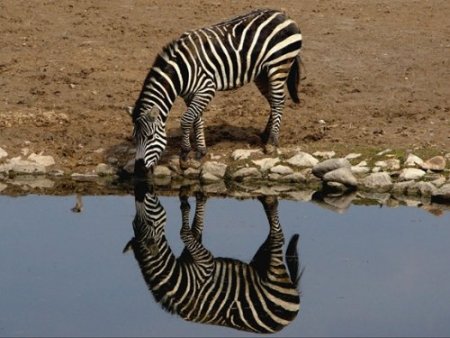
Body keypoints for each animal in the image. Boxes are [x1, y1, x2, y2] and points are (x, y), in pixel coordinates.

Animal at [125, 182, 304, 332]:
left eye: (148, 210)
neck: (177, 281)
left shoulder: (205, 263)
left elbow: (185, 232)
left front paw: (188, 200)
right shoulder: (194, 259)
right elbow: (195, 228)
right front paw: (193, 198)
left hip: (274, 274)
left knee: (278, 237)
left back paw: (269, 199)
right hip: (261, 261)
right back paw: (266, 199)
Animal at [132, 8, 304, 173]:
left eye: (150, 137)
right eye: (135, 138)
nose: (139, 169)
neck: (181, 70)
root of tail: (283, 14)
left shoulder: (207, 89)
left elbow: (187, 120)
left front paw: (185, 156)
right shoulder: (190, 94)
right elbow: (197, 120)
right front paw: (200, 153)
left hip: (278, 65)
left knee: (278, 101)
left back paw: (272, 142)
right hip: (262, 74)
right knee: (273, 102)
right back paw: (266, 135)